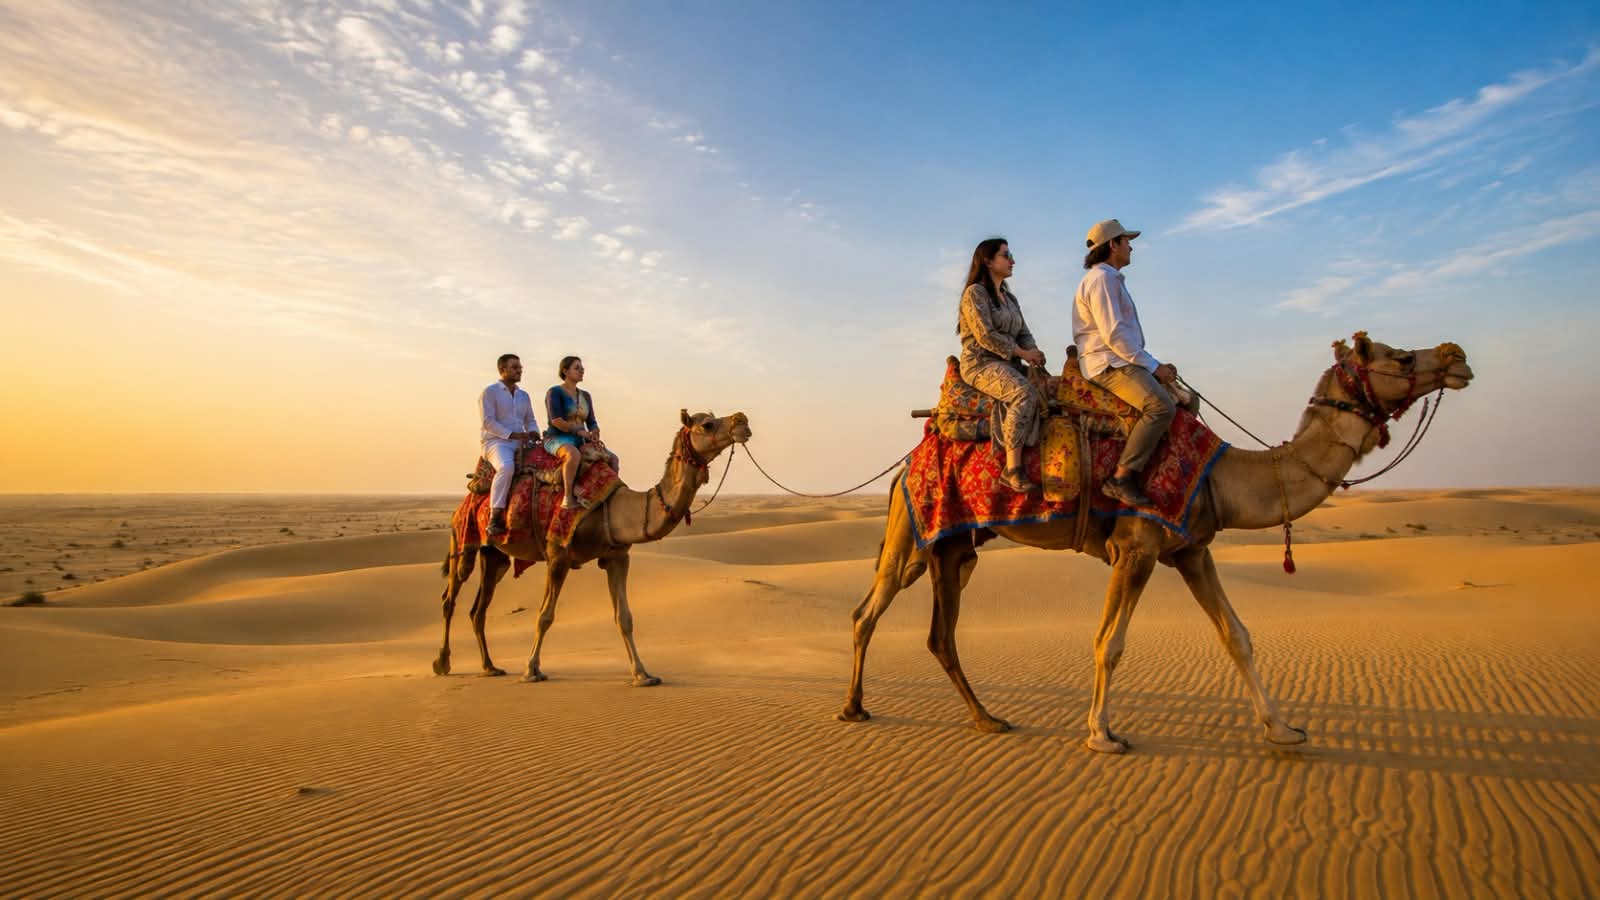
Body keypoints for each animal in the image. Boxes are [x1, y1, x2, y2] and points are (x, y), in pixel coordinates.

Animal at [434, 410, 752, 684]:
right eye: (707, 424)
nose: (742, 420)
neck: (613, 508)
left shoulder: (617, 557)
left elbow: (624, 618)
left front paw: (642, 674)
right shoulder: (558, 555)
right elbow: (545, 616)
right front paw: (531, 670)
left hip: (495, 556)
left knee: (479, 608)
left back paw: (489, 666)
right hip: (463, 540)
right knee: (450, 597)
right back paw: (443, 663)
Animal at [838, 333, 1474, 752]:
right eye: (1400, 356)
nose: (1456, 356)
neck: (1222, 475)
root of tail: (910, 457)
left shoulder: (1192, 550)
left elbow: (1237, 636)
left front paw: (1283, 728)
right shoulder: (1137, 548)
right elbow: (1109, 642)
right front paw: (1101, 734)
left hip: (952, 547)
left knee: (933, 631)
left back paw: (985, 718)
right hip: (914, 529)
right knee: (875, 609)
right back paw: (856, 707)